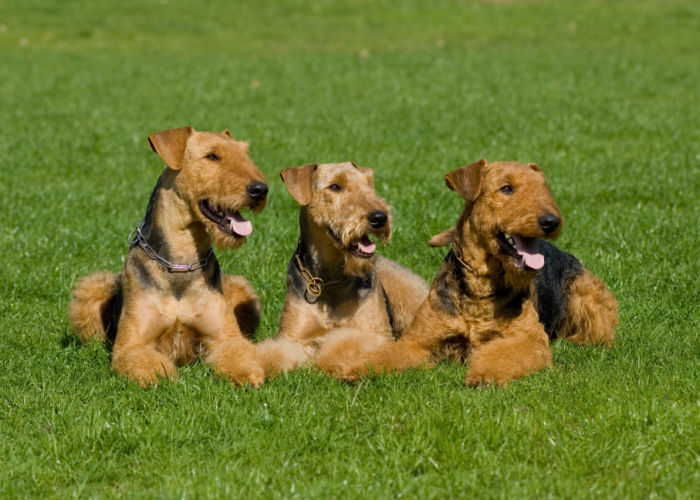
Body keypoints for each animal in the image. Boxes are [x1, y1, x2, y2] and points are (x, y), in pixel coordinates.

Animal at [69, 126, 268, 386]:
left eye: (245, 153)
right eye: (212, 156)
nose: (260, 190)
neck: (181, 262)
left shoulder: (224, 337)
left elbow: (239, 353)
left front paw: (249, 374)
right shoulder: (132, 345)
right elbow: (150, 365)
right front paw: (164, 377)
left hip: (241, 291)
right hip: (94, 288)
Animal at [318, 160, 616, 386]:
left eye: (543, 188)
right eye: (506, 188)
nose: (551, 221)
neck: (480, 288)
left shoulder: (529, 340)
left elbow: (503, 356)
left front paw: (483, 375)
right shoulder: (417, 342)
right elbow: (386, 355)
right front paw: (354, 370)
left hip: (591, 300)